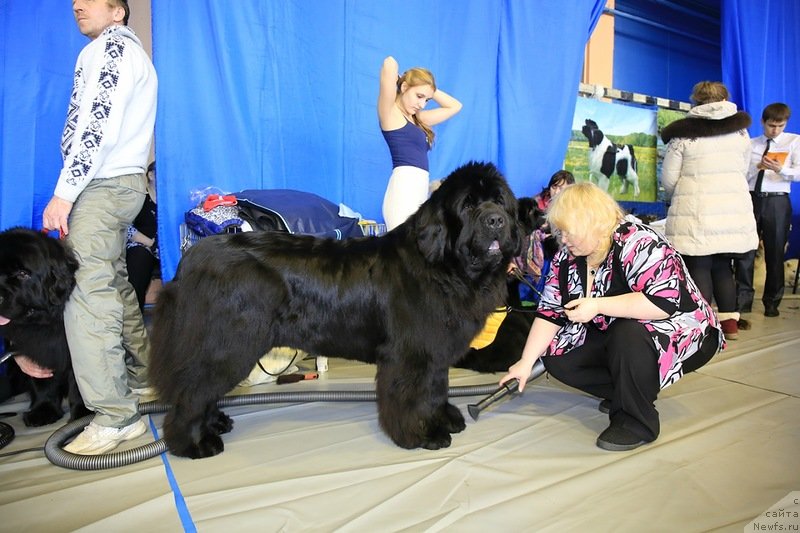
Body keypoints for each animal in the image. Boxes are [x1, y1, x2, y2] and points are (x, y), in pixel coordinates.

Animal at [0, 227, 87, 426]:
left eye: (23, 274)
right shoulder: (36, 349)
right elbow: (42, 385)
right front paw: (43, 411)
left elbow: (79, 383)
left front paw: (84, 413)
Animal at [152, 161, 520, 458]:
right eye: (468, 205)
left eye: (501, 202)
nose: (496, 220)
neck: (444, 268)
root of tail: (193, 257)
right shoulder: (412, 355)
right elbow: (415, 396)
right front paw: (422, 435)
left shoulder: (436, 352)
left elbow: (436, 388)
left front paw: (444, 418)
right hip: (228, 344)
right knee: (192, 393)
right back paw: (194, 443)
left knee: (201, 389)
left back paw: (215, 423)